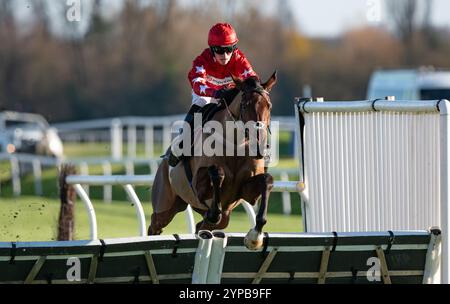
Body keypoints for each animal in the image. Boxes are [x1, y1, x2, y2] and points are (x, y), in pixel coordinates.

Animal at [150, 72, 278, 249]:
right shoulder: (198, 186)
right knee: (155, 224)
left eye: (269, 106)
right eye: (244, 105)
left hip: (221, 218)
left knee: (204, 225)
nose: (259, 146)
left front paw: (255, 235)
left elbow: (267, 180)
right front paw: (214, 210)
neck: (235, 145)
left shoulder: (246, 190)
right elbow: (217, 172)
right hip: (164, 205)